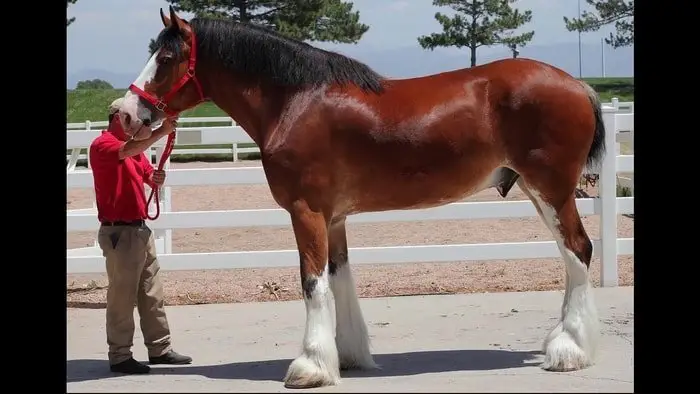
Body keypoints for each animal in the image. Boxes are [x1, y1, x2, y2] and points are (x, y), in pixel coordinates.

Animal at [117, 5, 604, 388]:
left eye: (165, 57)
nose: (124, 113)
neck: (294, 101)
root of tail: (579, 86)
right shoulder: (333, 218)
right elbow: (338, 277)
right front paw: (347, 356)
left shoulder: (306, 212)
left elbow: (311, 282)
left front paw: (310, 366)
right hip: (538, 190)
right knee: (571, 255)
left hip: (552, 190)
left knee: (579, 250)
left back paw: (569, 350)